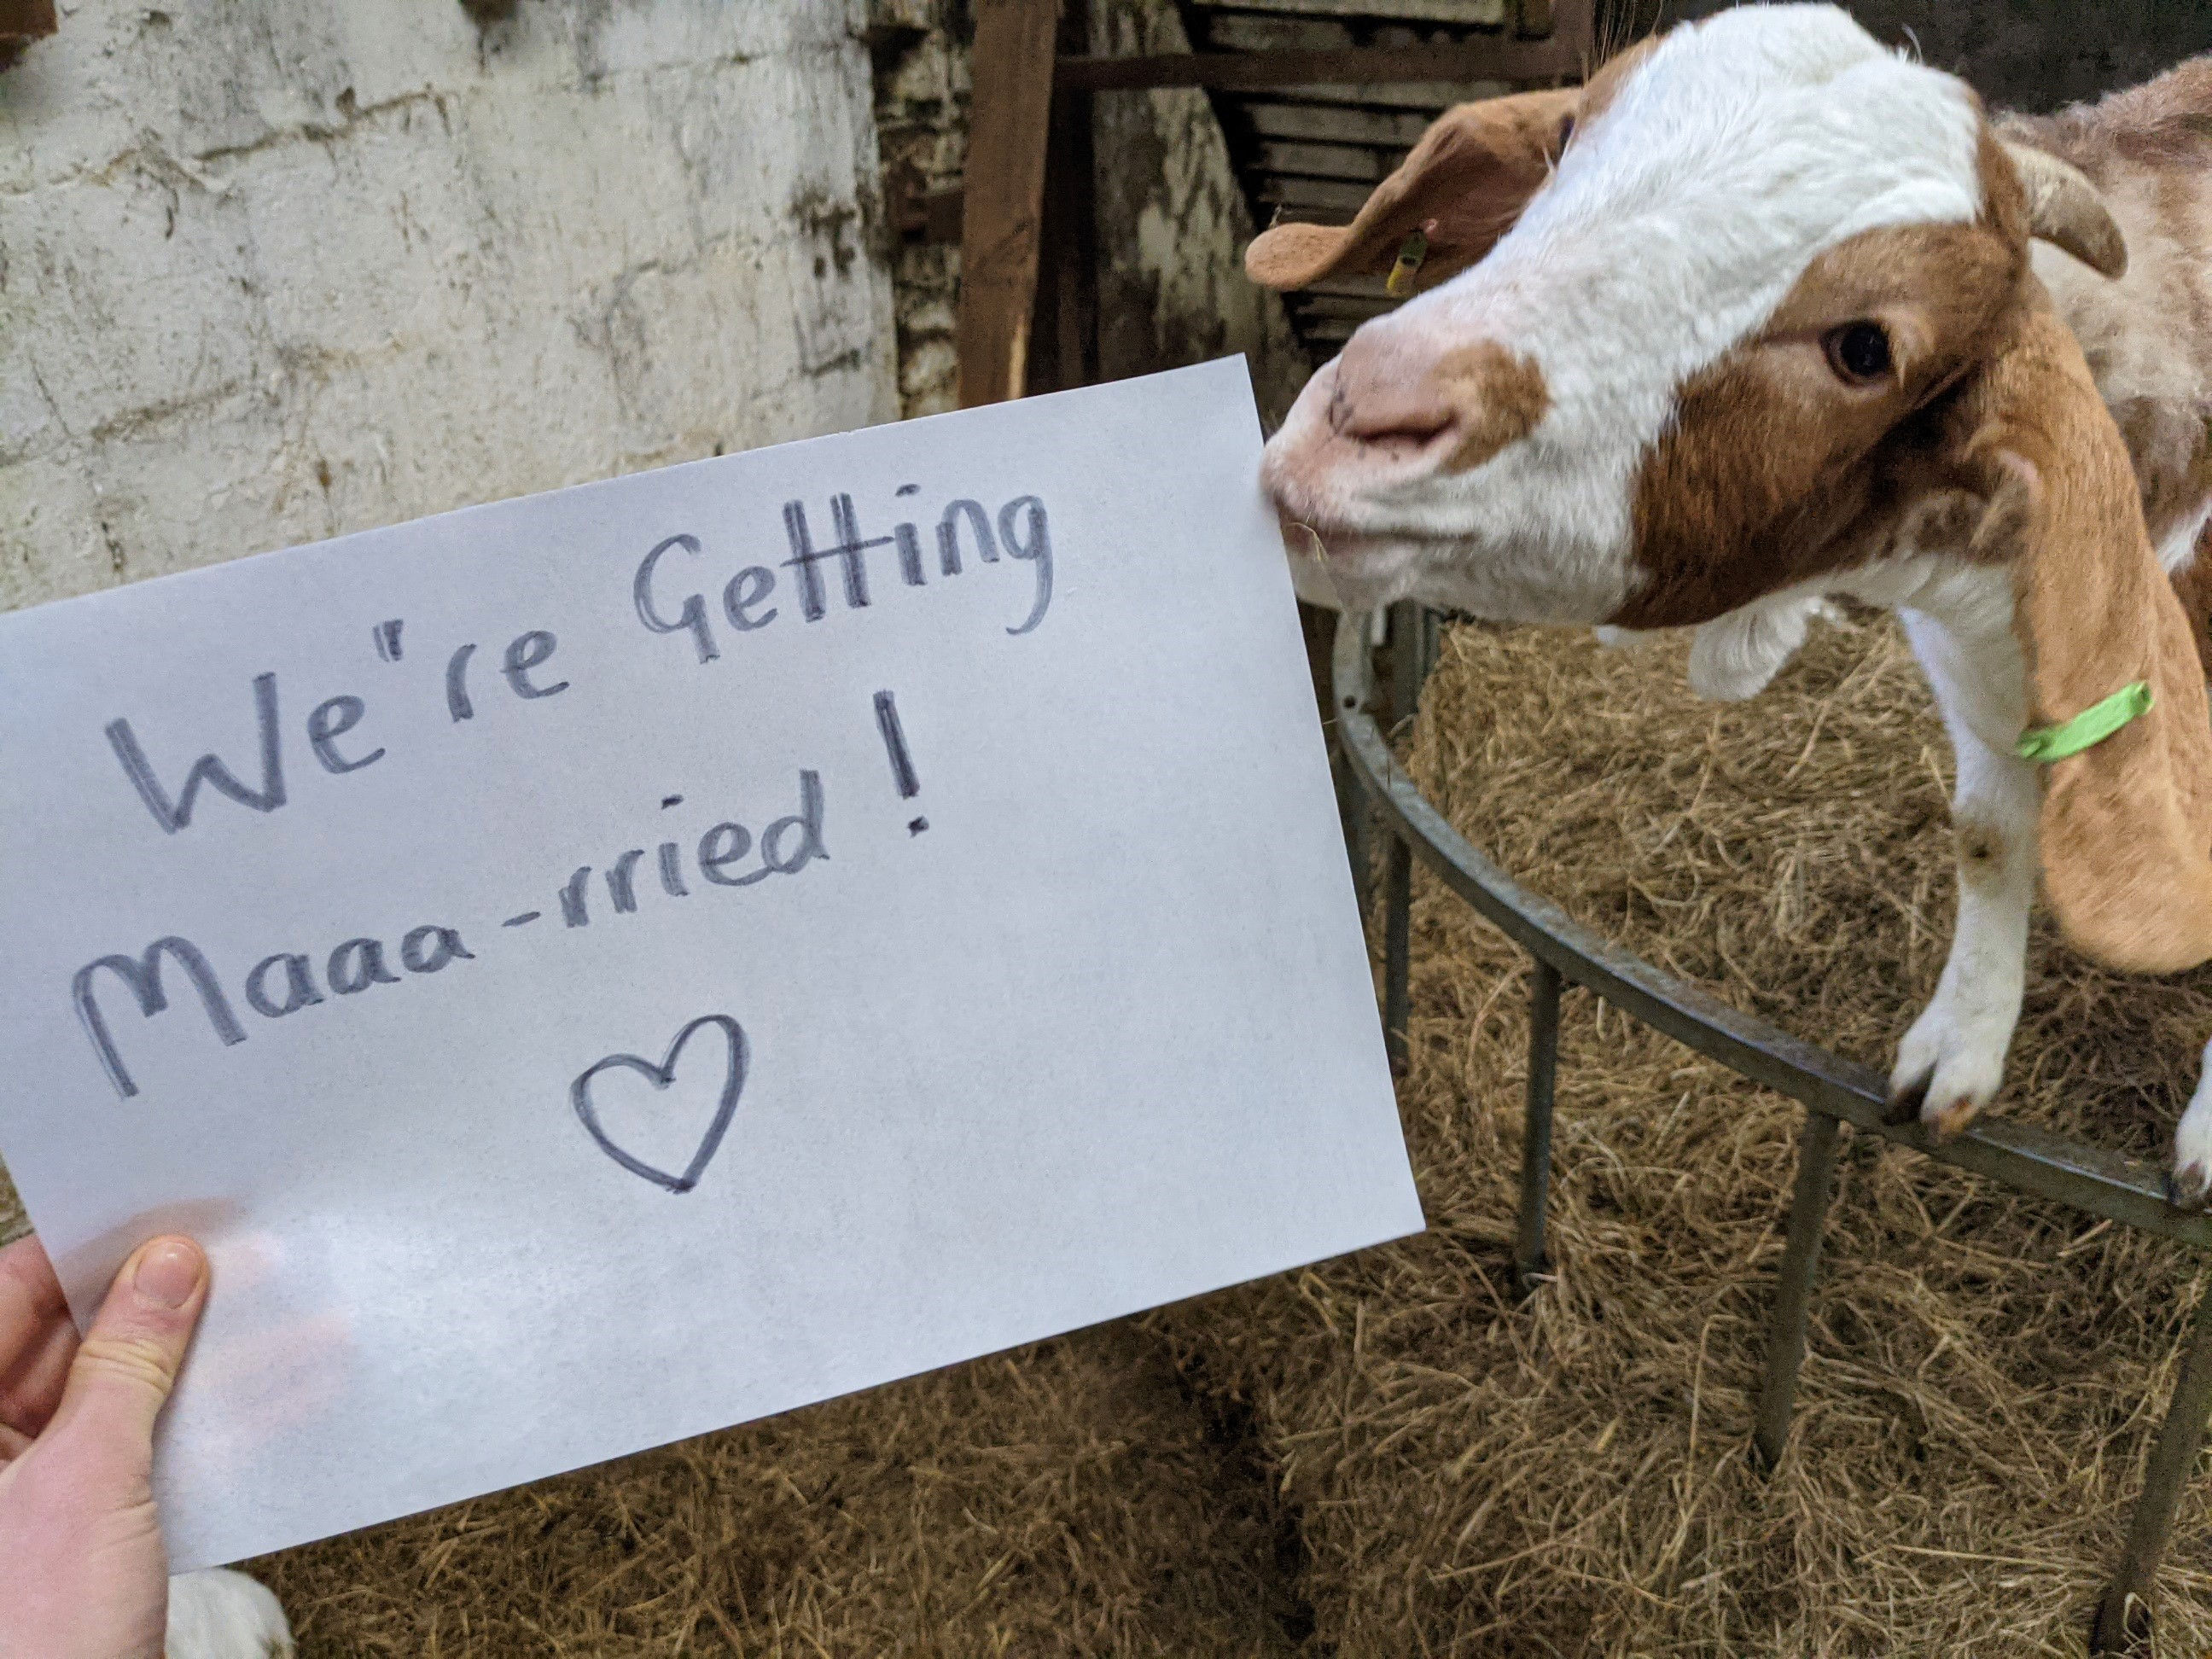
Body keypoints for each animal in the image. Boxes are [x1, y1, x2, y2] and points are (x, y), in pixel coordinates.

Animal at [1252, 3, 2212, 1204]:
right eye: (1566, 134)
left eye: (1865, 348)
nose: (1360, 413)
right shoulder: (1973, 662)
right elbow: (1989, 834)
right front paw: (1959, 1049)